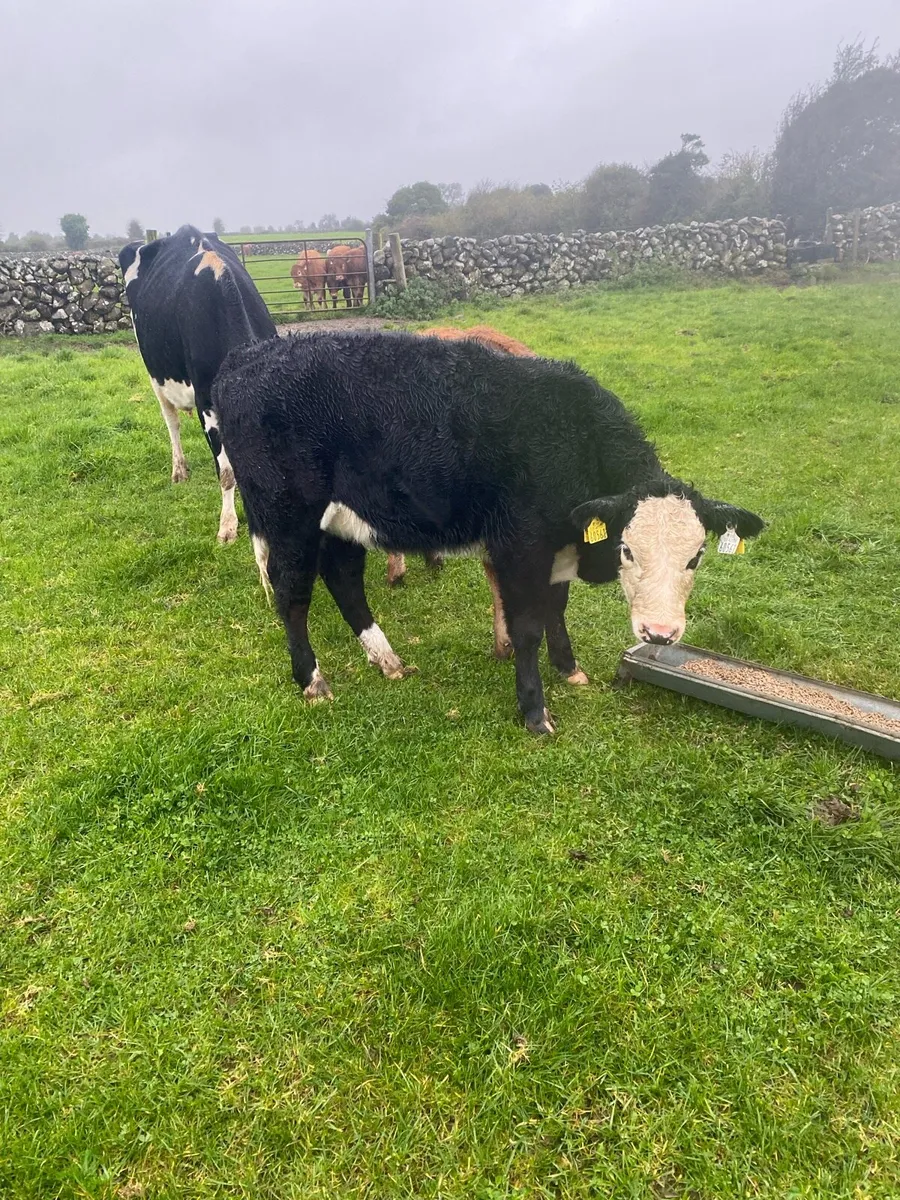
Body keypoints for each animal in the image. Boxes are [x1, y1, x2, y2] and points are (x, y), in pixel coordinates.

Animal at [119, 225, 276, 544]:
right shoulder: (208, 406)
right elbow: (226, 473)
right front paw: (228, 526)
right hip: (154, 373)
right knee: (172, 422)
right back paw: (179, 470)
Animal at [213, 331, 764, 733]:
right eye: (627, 548)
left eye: (696, 556)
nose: (660, 633)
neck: (574, 436)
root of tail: (248, 356)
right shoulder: (520, 544)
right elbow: (526, 626)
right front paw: (535, 711)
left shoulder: (556, 544)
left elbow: (556, 607)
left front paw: (569, 668)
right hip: (288, 516)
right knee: (292, 594)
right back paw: (312, 679)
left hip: (341, 520)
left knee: (344, 580)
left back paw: (387, 660)